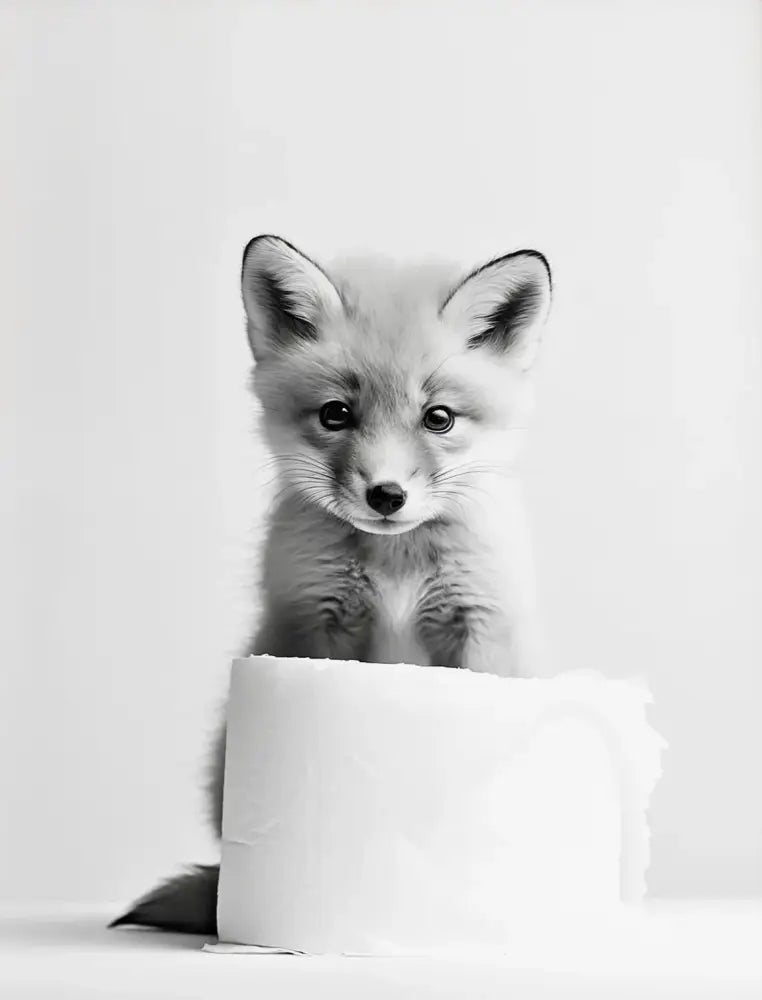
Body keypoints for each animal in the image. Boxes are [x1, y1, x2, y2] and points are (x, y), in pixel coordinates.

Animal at [110, 234, 553, 936]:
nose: (387, 495)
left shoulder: (479, 623)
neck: (396, 562)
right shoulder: (312, 626)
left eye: (439, 418)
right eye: (336, 415)